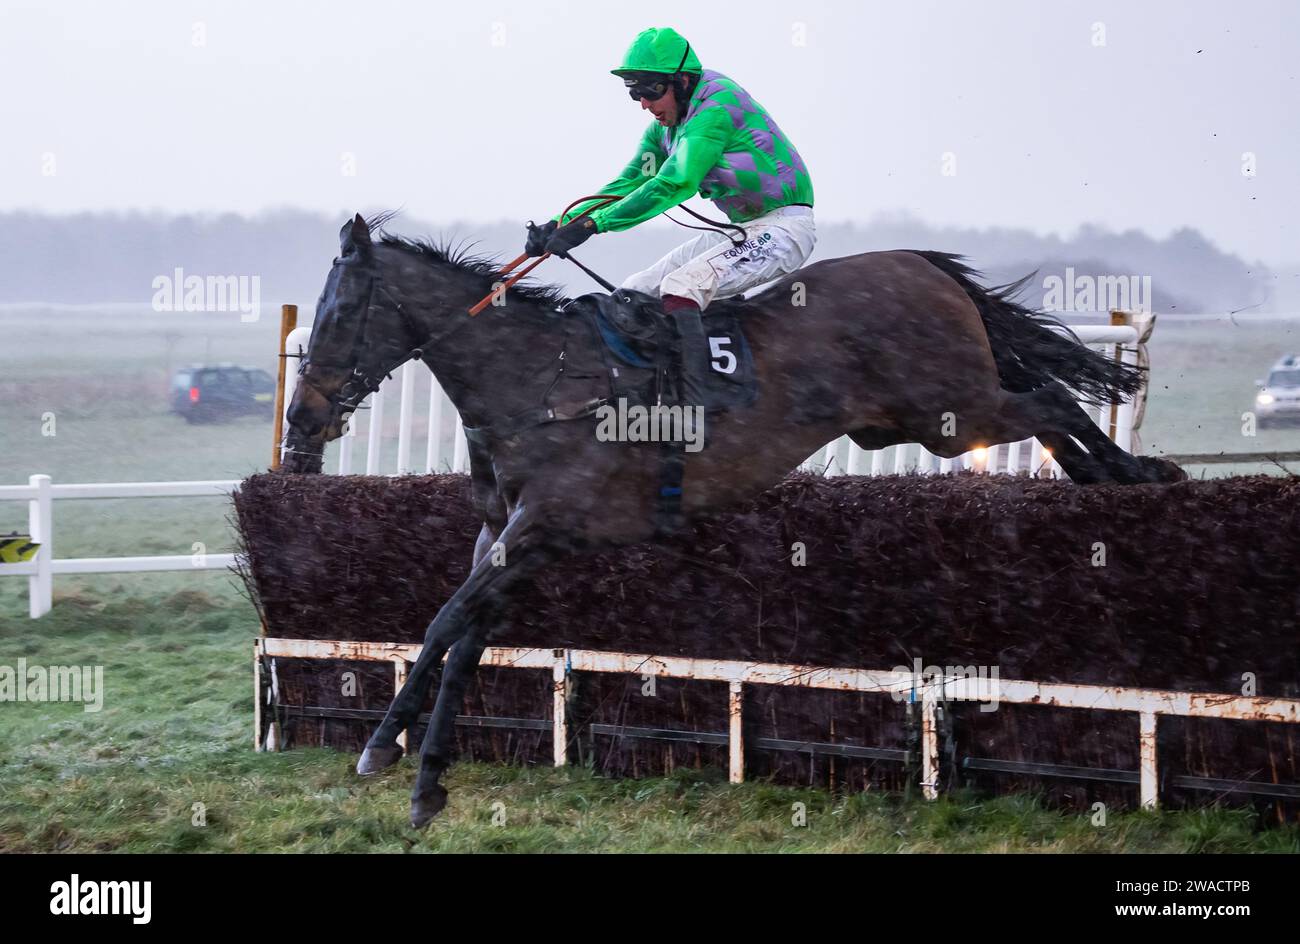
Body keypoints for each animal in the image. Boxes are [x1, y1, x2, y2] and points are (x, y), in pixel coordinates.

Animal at [284, 214, 1190, 826]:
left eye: (340, 316)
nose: (301, 424)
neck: (537, 379)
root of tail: (921, 263)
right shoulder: (509, 541)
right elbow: (464, 639)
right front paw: (427, 781)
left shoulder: (541, 529)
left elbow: (441, 624)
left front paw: (381, 746)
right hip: (912, 419)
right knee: (1046, 406)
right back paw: (1120, 475)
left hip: (951, 410)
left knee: (1052, 399)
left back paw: (1138, 473)